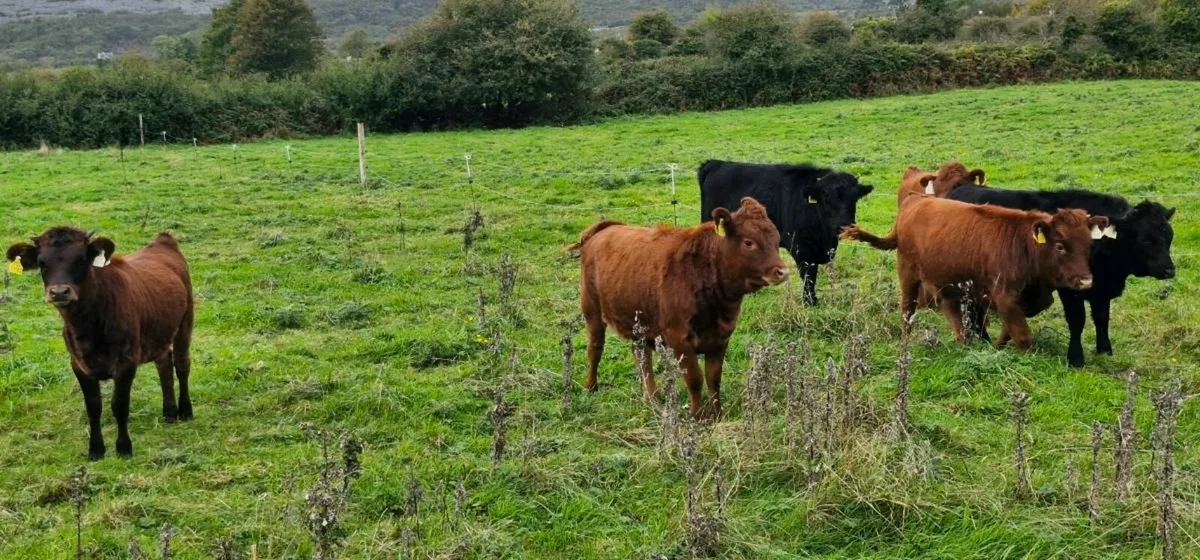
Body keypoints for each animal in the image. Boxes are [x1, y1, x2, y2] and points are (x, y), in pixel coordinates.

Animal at [6, 228, 194, 460]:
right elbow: (93, 407)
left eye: (81, 259)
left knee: (182, 364)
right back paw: (169, 411)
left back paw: (185, 410)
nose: (59, 292)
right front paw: (96, 449)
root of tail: (163, 241)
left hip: (186, 321)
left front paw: (124, 448)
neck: (87, 326)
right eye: (42, 263)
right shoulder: (78, 364)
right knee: (164, 363)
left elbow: (119, 405)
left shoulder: (126, 362)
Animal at [572, 197, 789, 417]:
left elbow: (714, 378)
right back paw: (591, 387)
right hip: (592, 311)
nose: (783, 272)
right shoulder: (678, 338)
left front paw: (717, 412)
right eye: (749, 242)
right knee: (595, 348)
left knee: (642, 356)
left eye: (776, 239)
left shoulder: (721, 337)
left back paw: (652, 398)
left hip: (638, 321)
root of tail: (607, 228)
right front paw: (697, 415)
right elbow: (694, 379)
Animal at [698, 160, 873, 306]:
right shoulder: (801, 249)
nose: (844, 225)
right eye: (826, 200)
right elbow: (808, 276)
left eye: (854, 200)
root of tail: (716, 163)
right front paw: (810, 302)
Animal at [840, 196, 1107, 349]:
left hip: (947, 281)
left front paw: (994, 345)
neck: (1024, 246)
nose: (1085, 281)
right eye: (1060, 246)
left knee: (950, 308)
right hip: (908, 274)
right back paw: (907, 340)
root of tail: (915, 202)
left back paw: (964, 340)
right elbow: (1022, 336)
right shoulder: (1004, 296)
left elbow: (1007, 330)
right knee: (908, 309)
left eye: (1089, 245)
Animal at [949, 185, 1176, 367]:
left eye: (1169, 237)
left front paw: (1105, 351)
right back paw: (982, 339)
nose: (1169, 270)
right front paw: (1075, 358)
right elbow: (1077, 321)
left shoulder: (1100, 292)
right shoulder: (1070, 290)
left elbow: (1102, 319)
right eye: (1146, 240)